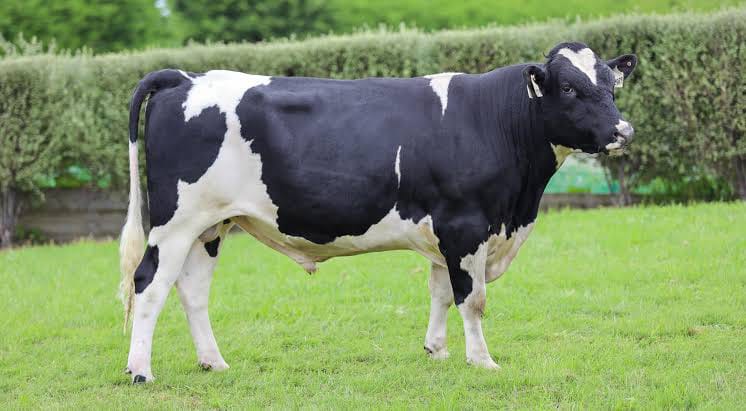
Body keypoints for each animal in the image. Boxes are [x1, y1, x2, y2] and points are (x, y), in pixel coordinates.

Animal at [119, 42, 637, 383]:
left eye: (611, 84)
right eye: (568, 88)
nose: (623, 131)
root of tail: (184, 77)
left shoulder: (445, 231)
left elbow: (441, 292)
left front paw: (437, 351)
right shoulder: (465, 225)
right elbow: (472, 298)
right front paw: (482, 361)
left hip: (210, 226)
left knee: (191, 290)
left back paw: (214, 362)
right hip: (175, 222)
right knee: (148, 284)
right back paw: (140, 372)